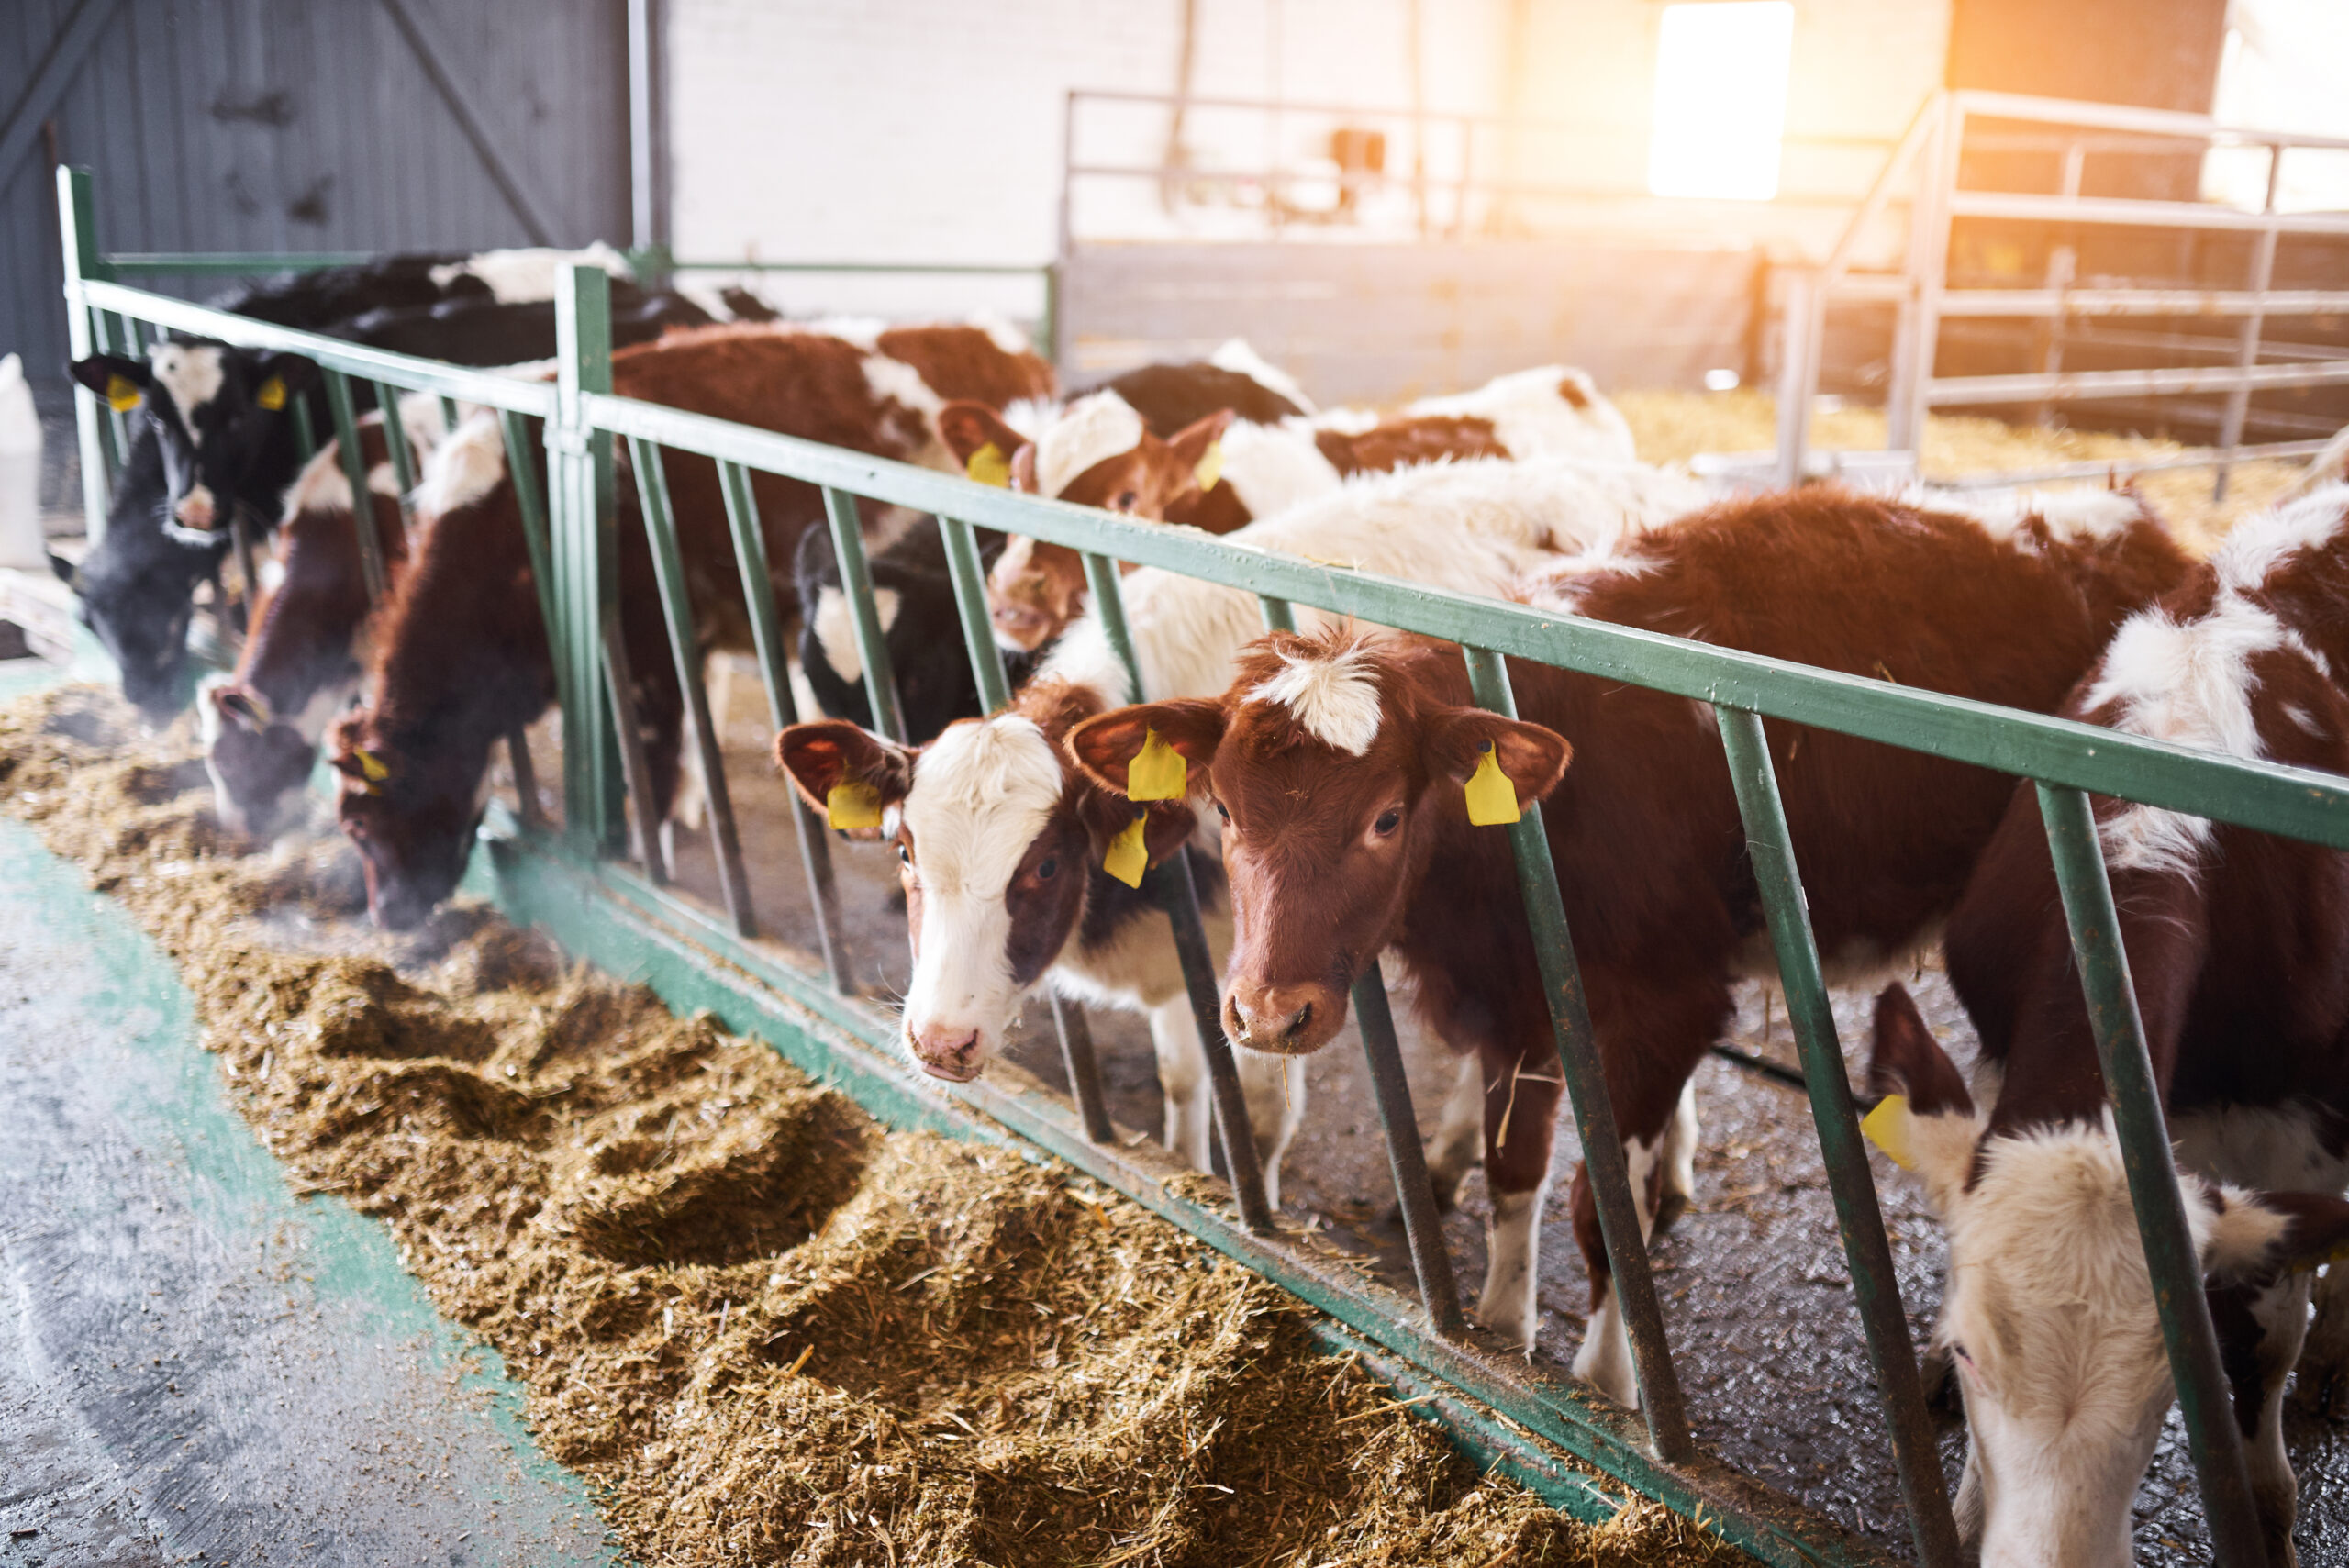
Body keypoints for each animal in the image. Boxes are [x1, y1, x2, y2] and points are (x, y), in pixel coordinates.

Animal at [774, 456, 1713, 1203]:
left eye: (1041, 867)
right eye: (905, 850)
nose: (938, 1040)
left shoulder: (1262, 972)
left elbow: (1257, 1118)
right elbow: (1184, 1085)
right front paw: (1185, 1165)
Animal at [1060, 487, 2192, 1401]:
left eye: (1385, 815)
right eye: (1224, 807)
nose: (1264, 1011)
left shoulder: (1663, 1003)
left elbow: (1600, 1214)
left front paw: (1606, 1381)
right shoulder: (1512, 996)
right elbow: (1515, 1174)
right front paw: (1501, 1328)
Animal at [1866, 482, 2349, 1568]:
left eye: (2172, 1389)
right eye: (1965, 1347)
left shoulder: (2301, 1119)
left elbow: (2269, 1335)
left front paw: (2267, 1507)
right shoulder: (2000, 1052)